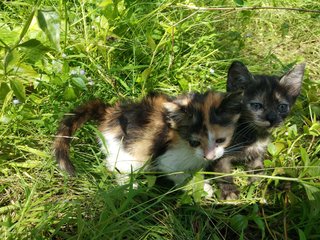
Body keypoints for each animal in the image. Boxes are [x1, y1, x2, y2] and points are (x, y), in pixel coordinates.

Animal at [54, 91, 242, 187]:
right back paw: (128, 185)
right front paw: (202, 189)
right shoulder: (167, 159)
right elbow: (177, 174)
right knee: (115, 164)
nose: (210, 156)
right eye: (194, 142)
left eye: (220, 140)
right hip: (128, 151)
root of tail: (109, 113)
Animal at [206, 61, 306, 200]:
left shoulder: (258, 152)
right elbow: (223, 174)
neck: (250, 134)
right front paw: (229, 190)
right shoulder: (218, 154)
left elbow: (259, 170)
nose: (272, 119)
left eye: (282, 107)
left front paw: (262, 187)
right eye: (256, 105)